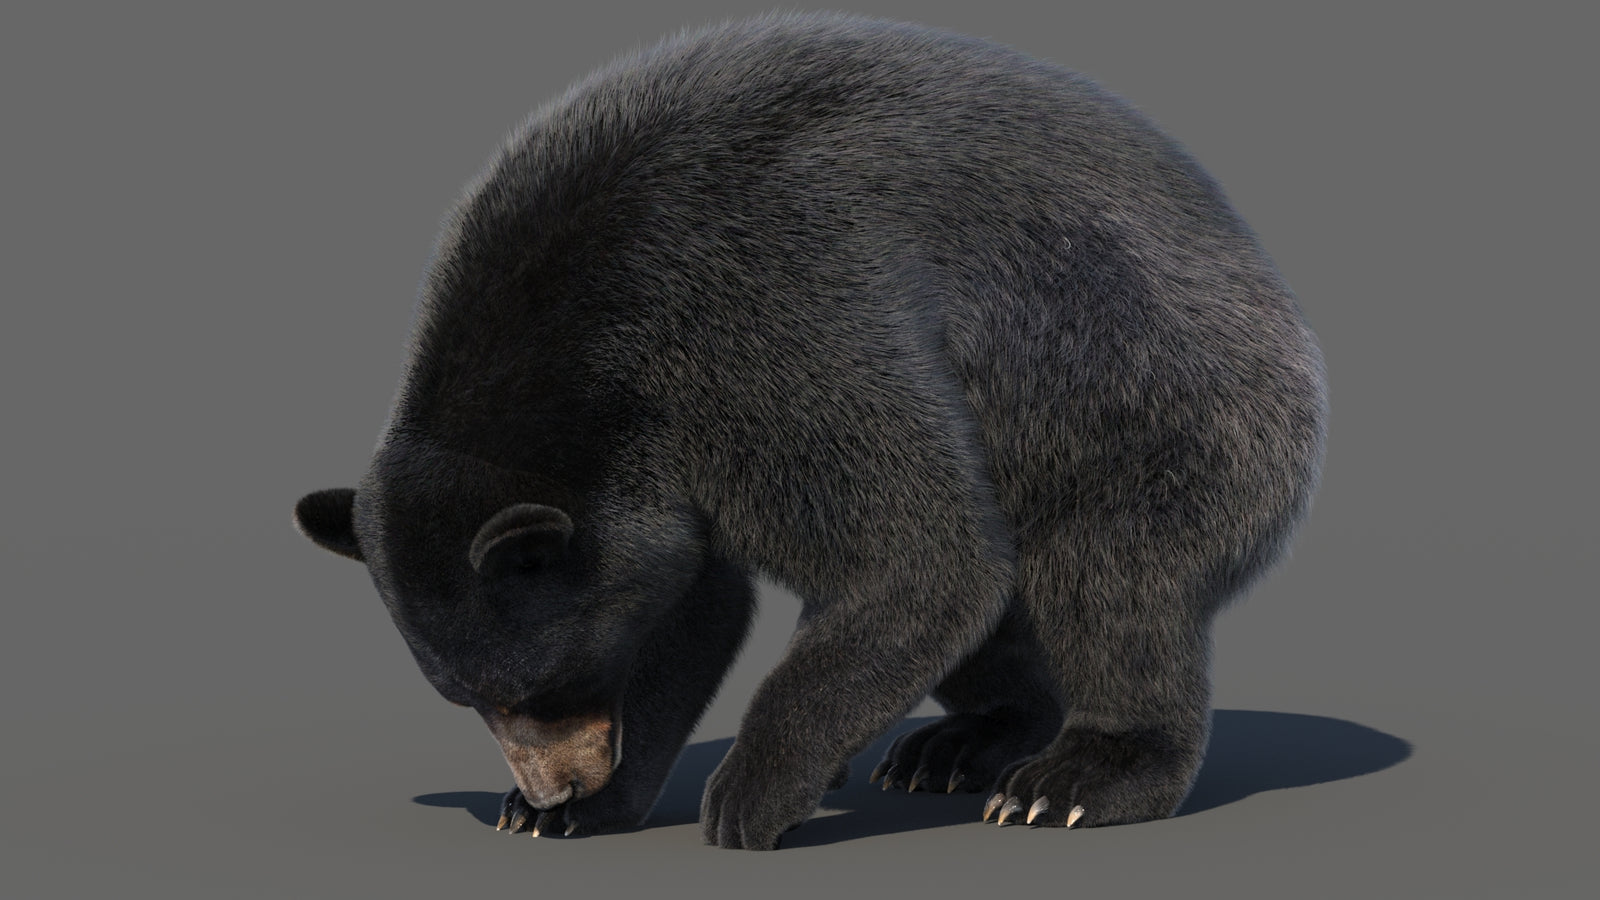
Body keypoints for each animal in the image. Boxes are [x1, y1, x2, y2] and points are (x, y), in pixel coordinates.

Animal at [293, 11, 1326, 851]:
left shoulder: (766, 321)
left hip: (1155, 401)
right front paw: (578, 809)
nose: (556, 785)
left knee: (1111, 578)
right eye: (468, 697)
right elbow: (696, 604)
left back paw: (1073, 778)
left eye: (540, 686)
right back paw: (960, 743)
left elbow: (916, 554)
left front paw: (746, 793)